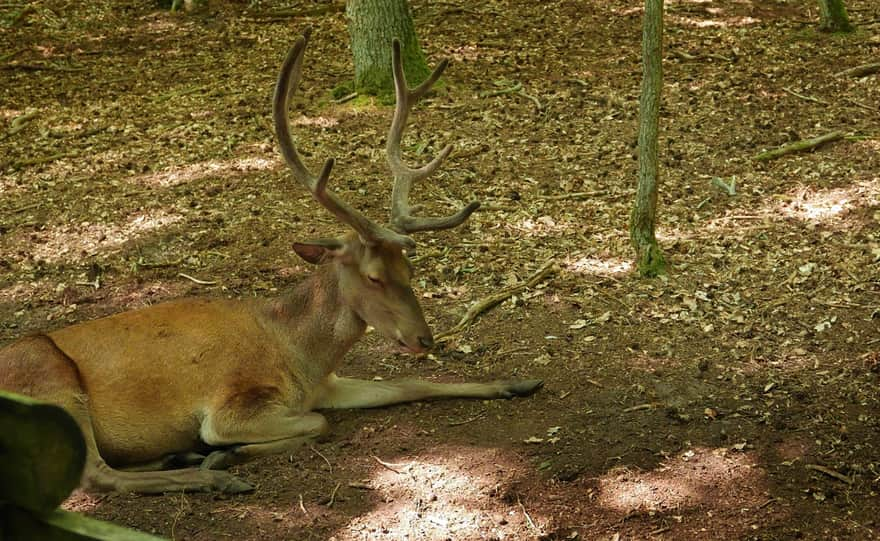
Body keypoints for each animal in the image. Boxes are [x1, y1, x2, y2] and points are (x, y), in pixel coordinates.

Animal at [0, 30, 544, 494]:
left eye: (411, 271)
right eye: (373, 276)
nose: (424, 338)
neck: (300, 355)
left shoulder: (325, 384)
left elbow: (409, 384)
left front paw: (516, 383)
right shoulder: (231, 405)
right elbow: (317, 424)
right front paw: (224, 453)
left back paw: (181, 458)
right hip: (48, 377)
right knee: (96, 475)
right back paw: (213, 475)